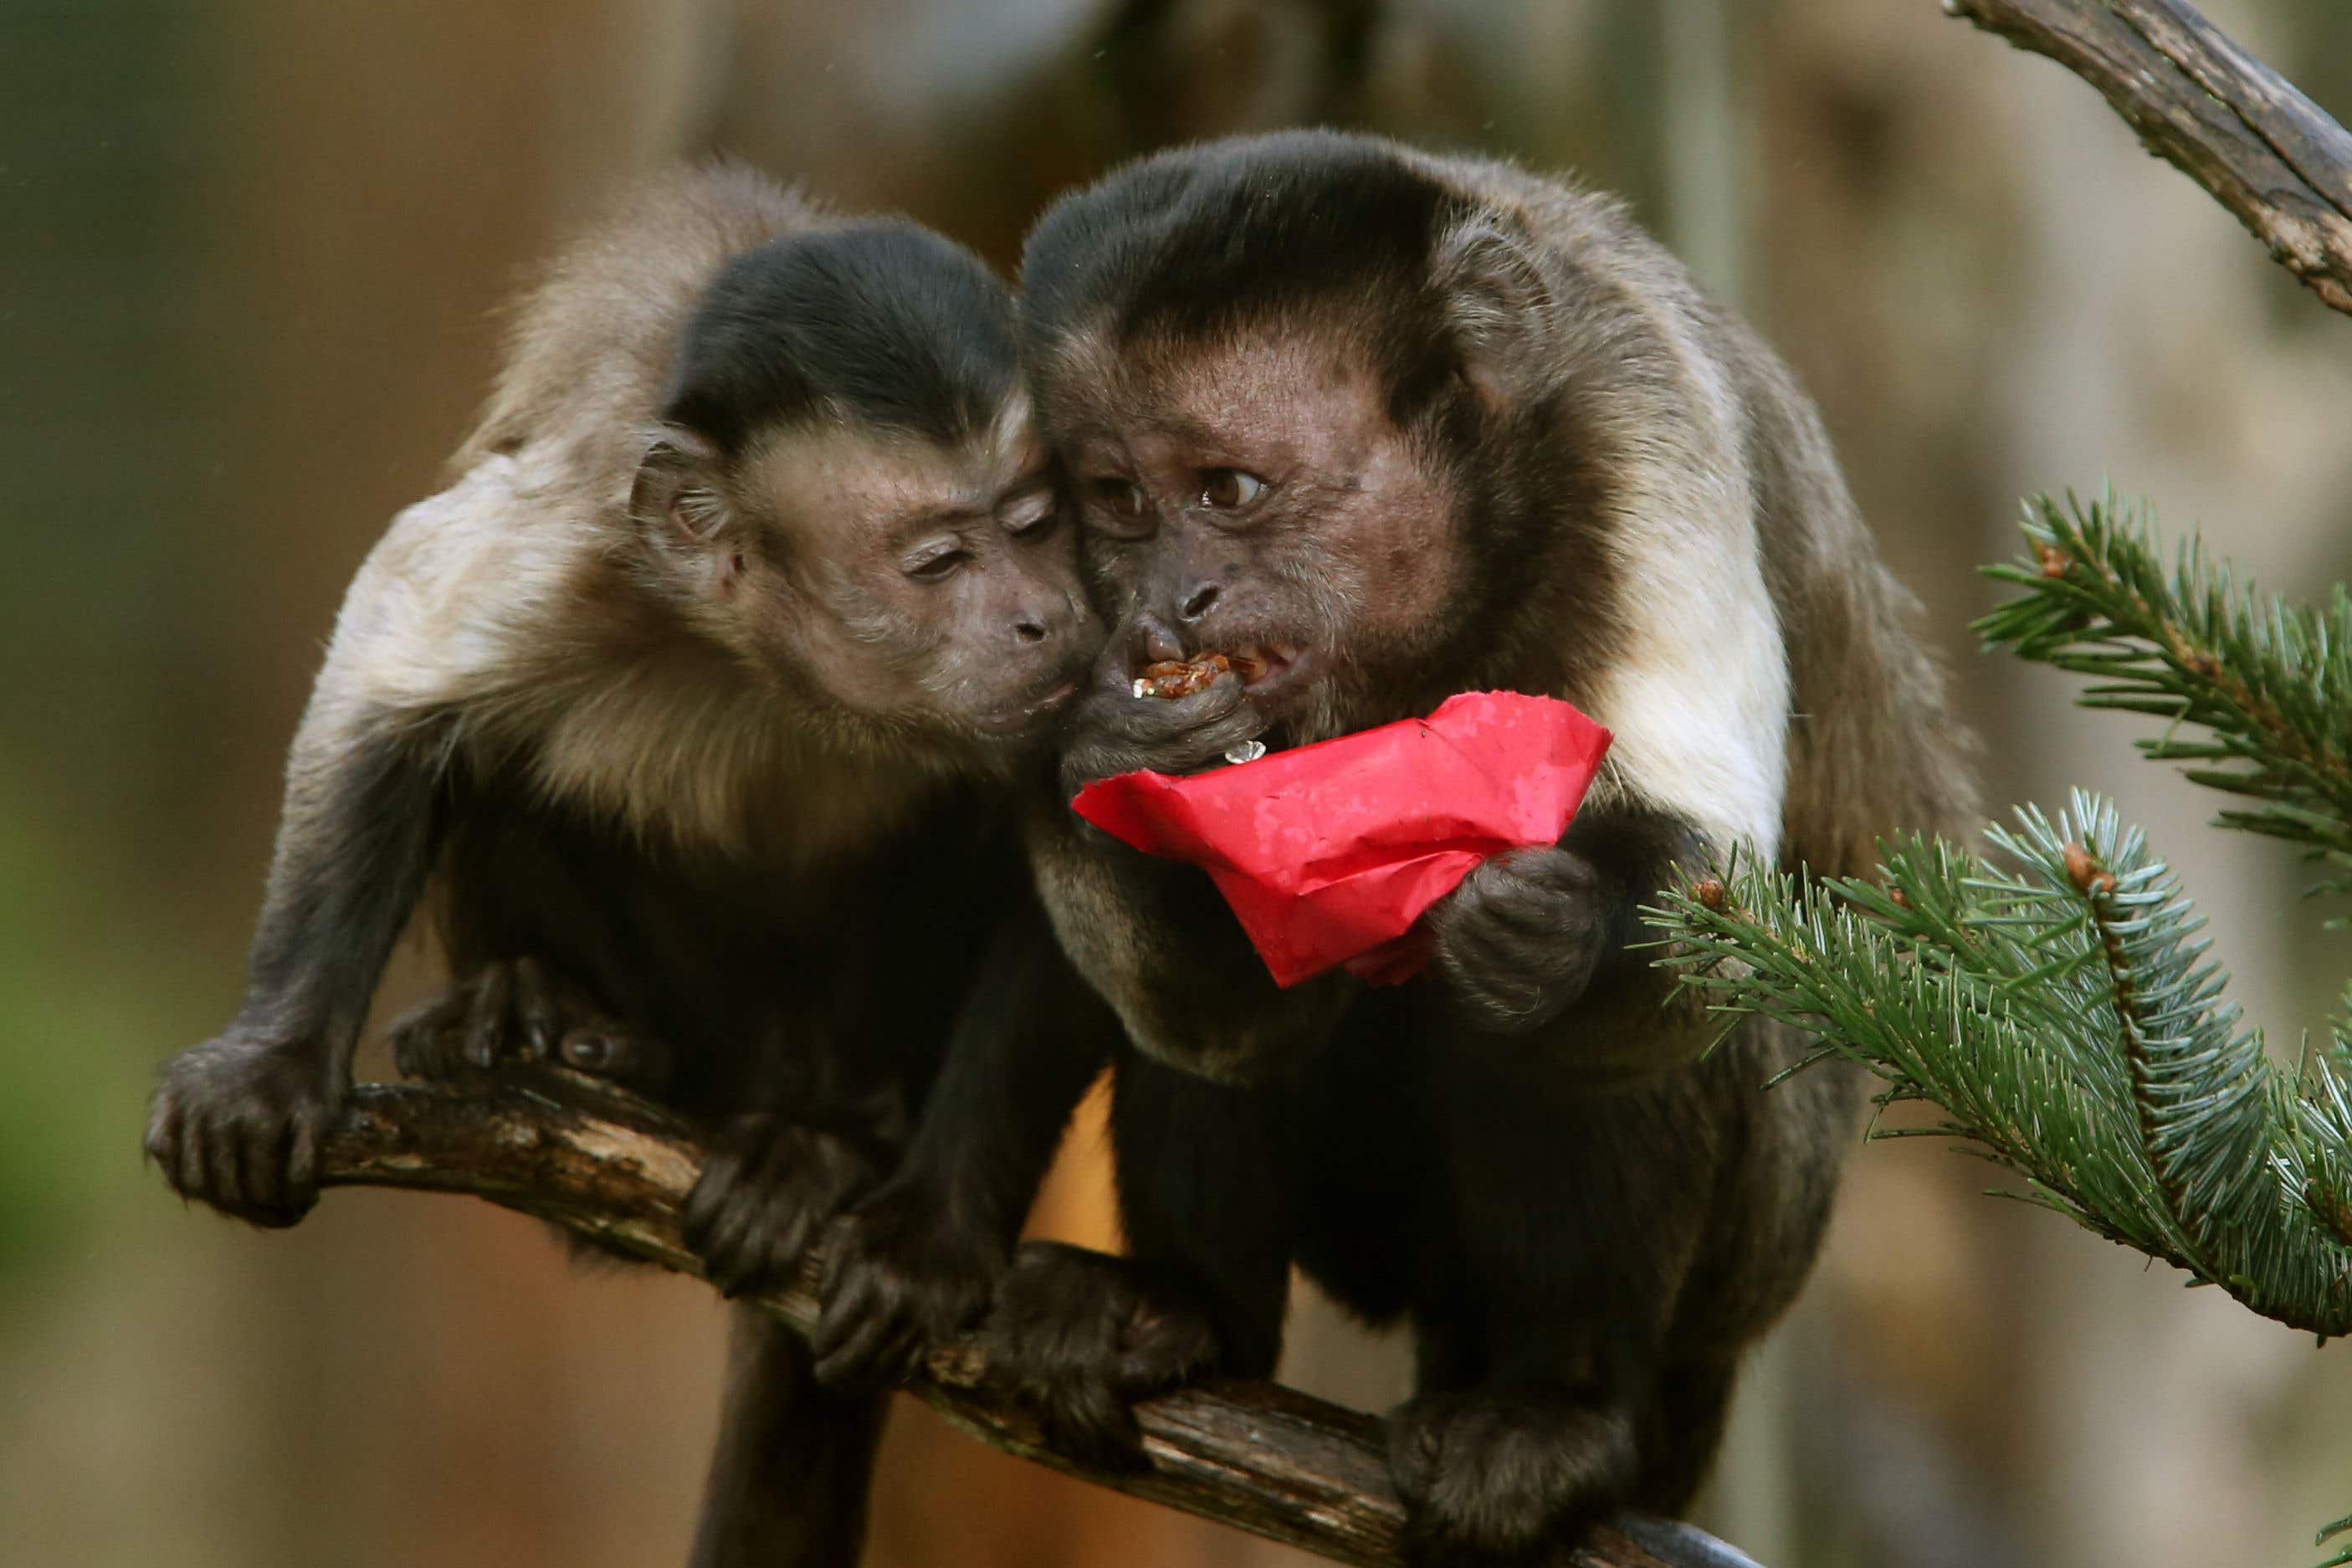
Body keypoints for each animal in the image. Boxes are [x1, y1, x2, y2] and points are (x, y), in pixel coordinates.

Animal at [818, 135, 1975, 1568]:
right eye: (1117, 503)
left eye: (1226, 492)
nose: (1172, 600)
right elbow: (1221, 1008)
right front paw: (1124, 758)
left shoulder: (1640, 435)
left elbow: (1706, 920)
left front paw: (1553, 933)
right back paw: (1185, 1310)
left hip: (1758, 1245)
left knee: (1584, 1055)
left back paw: (1557, 1406)